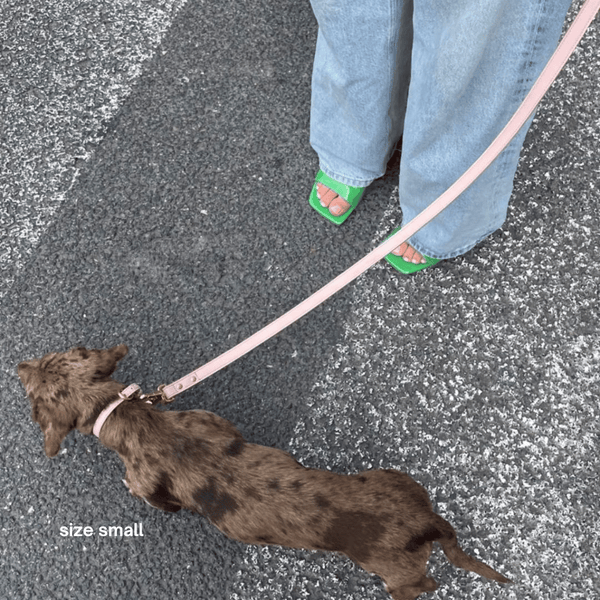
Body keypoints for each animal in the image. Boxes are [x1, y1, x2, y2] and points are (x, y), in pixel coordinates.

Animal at [16, 344, 508, 596]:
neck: (128, 416)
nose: (17, 364)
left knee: (424, 584)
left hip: (396, 576)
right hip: (395, 476)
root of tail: (428, 523)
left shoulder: (144, 485)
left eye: (31, 390)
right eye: (56, 356)